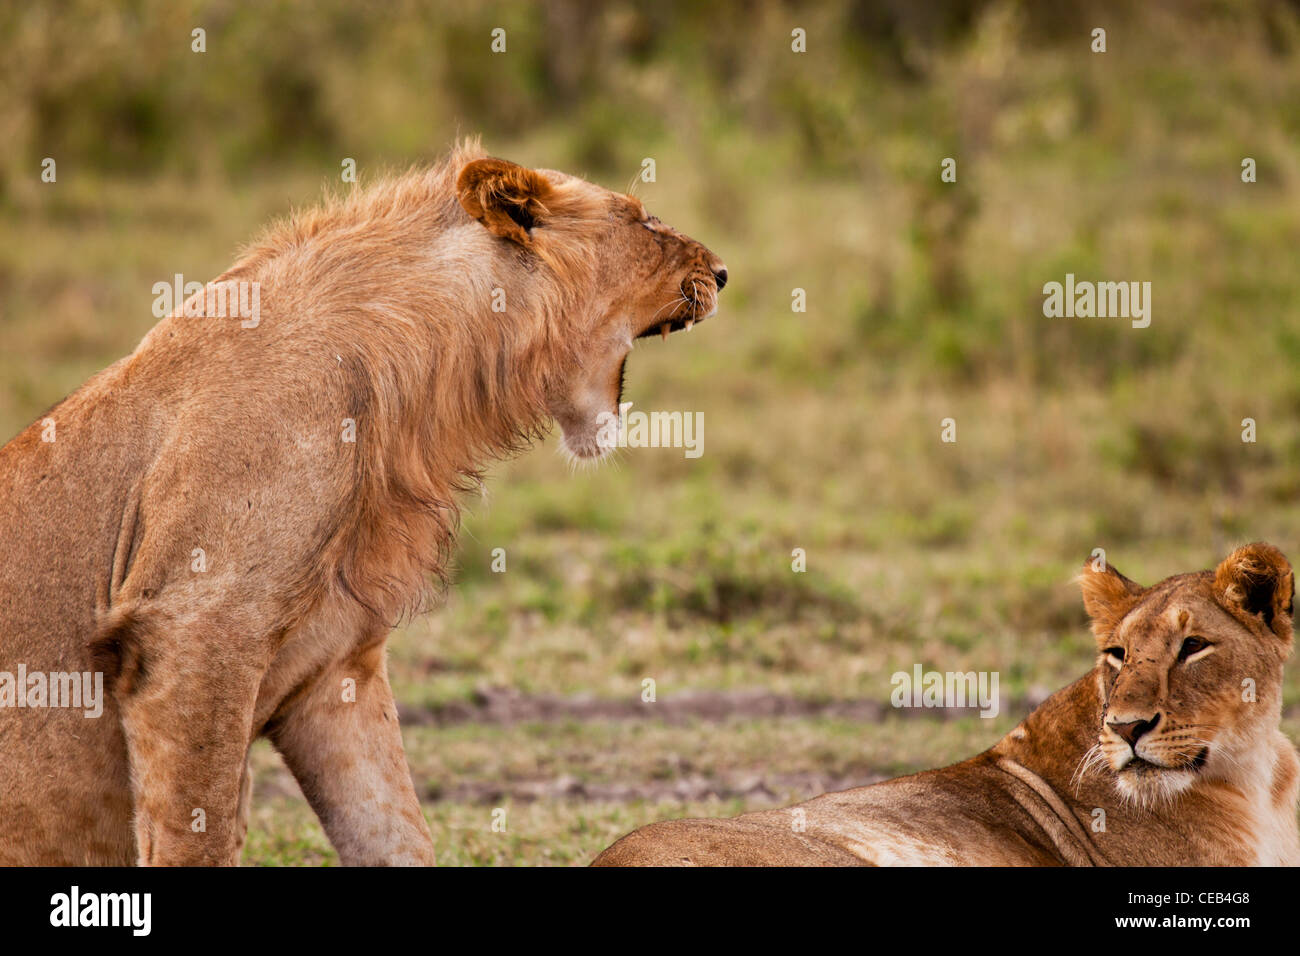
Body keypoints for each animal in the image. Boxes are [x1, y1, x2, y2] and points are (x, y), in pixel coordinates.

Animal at [0, 139, 727, 865]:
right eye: (644, 220)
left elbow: (396, 831)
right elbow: (192, 835)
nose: (723, 273)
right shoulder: (190, 634)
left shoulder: (337, 671)